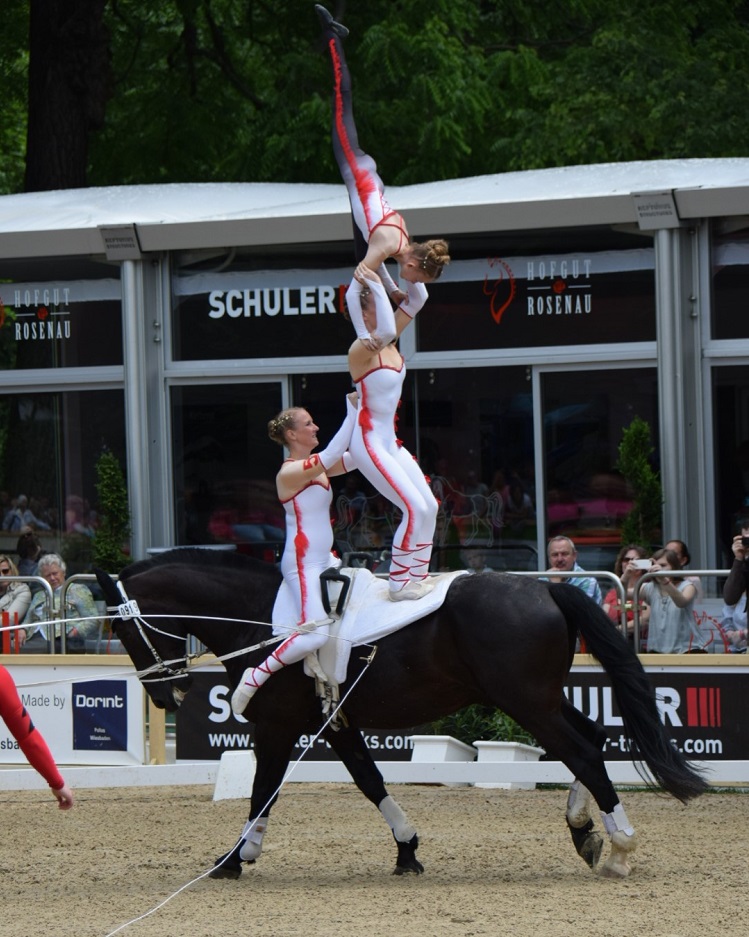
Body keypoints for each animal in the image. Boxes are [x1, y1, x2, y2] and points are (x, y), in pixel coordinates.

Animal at [95, 548, 708, 876]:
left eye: (122, 629)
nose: (165, 697)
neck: (264, 618)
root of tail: (548, 591)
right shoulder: (337, 725)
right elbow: (370, 781)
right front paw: (407, 850)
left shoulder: (276, 728)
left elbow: (263, 791)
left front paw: (233, 859)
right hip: (540, 699)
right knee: (592, 740)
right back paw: (585, 834)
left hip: (526, 702)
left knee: (581, 750)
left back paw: (619, 850)